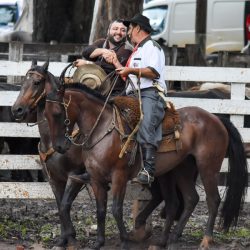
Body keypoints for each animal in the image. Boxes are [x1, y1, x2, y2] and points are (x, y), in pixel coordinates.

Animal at [11, 61, 201, 250]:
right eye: (23, 82)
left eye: (37, 82)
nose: (17, 110)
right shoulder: (54, 179)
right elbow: (61, 206)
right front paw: (63, 239)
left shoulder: (76, 175)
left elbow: (65, 205)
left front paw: (71, 238)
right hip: (165, 173)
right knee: (164, 197)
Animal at [43, 78, 248, 248]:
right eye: (45, 115)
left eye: (58, 113)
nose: (59, 146)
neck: (103, 129)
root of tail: (216, 118)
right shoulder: (95, 179)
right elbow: (100, 210)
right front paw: (99, 243)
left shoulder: (119, 176)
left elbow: (116, 209)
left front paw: (125, 241)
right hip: (183, 169)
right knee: (190, 199)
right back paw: (170, 239)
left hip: (208, 167)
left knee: (213, 200)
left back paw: (206, 240)